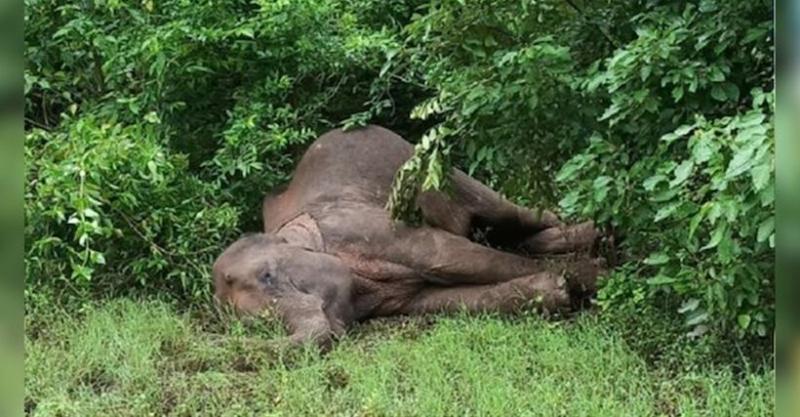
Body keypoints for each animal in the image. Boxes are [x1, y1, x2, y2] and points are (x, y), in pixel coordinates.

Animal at [213, 125, 604, 349]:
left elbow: (450, 256)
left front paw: (590, 279)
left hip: (437, 168)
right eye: (260, 326)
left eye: (268, 276)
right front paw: (557, 290)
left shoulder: (364, 227)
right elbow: (444, 299)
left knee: (507, 213)